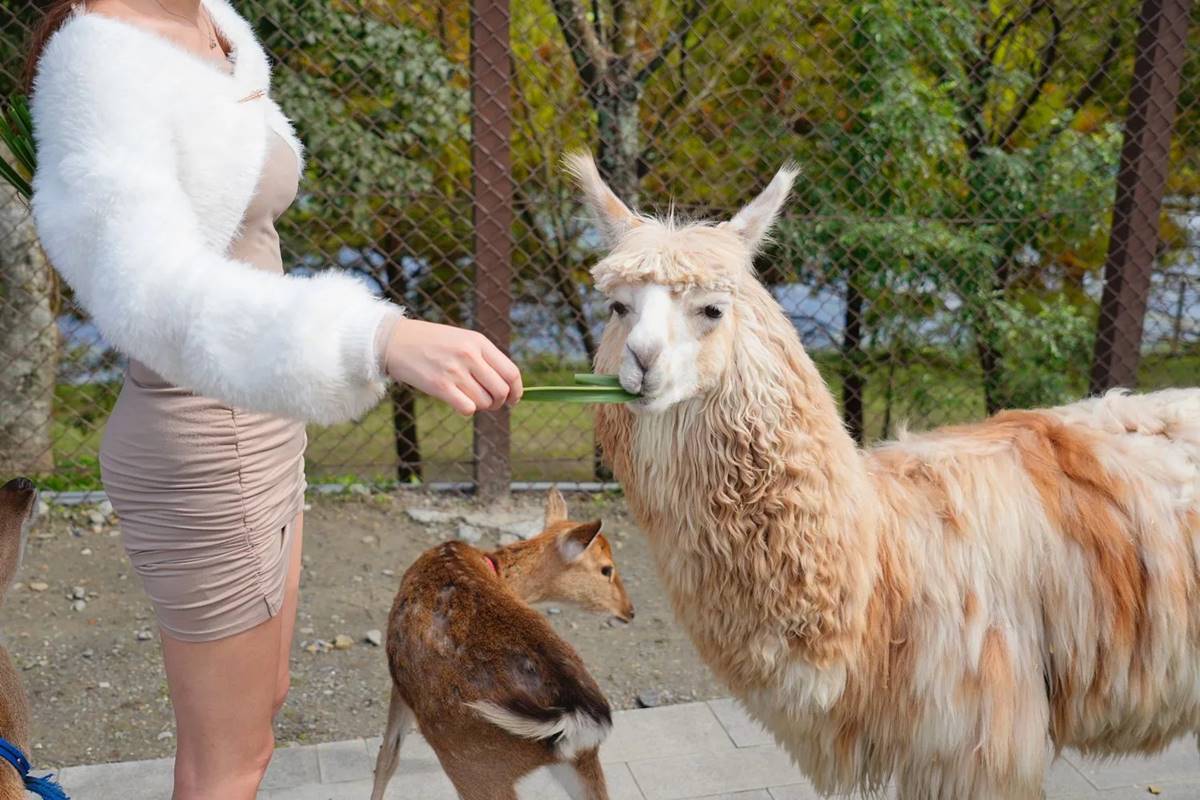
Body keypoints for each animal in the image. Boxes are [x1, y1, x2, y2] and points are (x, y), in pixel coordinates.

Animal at [372, 489, 638, 800]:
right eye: (607, 569)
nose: (630, 610)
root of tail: (573, 717)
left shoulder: (400, 683)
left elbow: (388, 756)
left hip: (470, 761)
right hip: (583, 757)